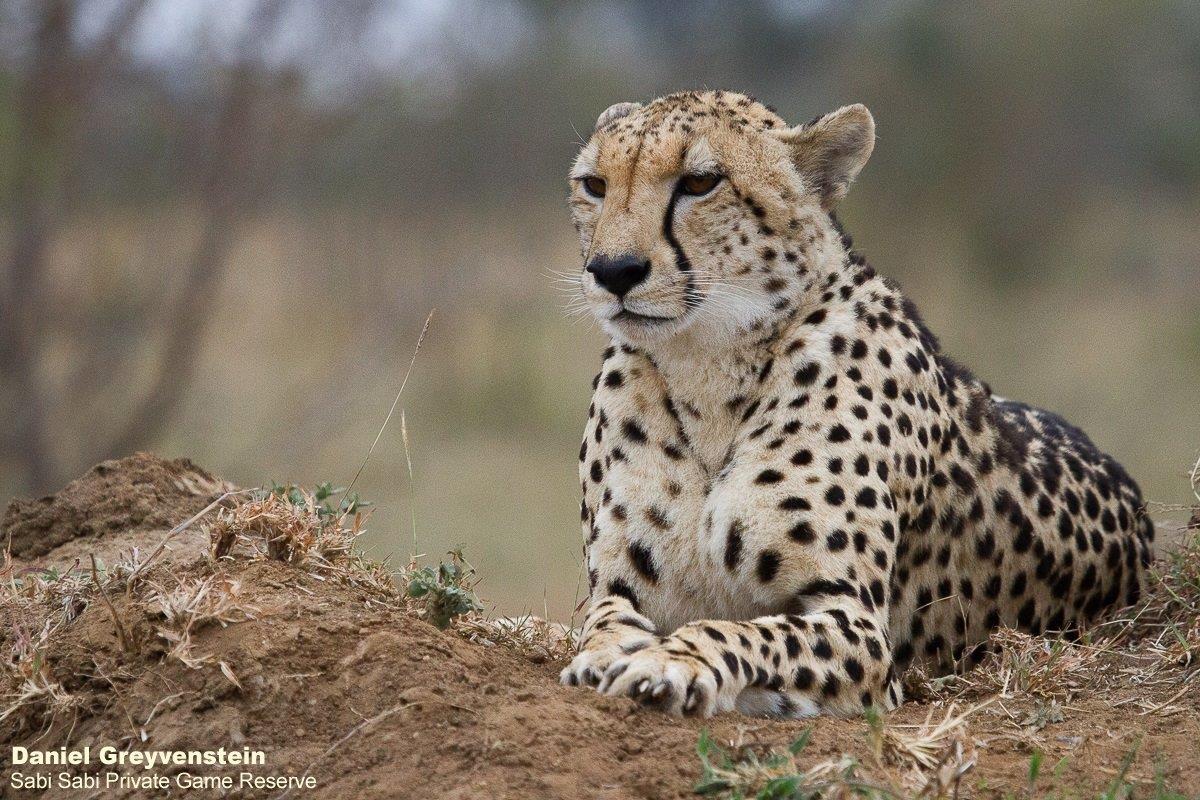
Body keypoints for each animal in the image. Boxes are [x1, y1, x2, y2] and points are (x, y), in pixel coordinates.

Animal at [557, 90, 1154, 718]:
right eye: (594, 184)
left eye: (700, 183)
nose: (613, 271)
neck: (709, 374)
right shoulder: (622, 588)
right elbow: (603, 622)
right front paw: (605, 656)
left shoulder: (861, 631)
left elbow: (738, 630)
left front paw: (670, 661)